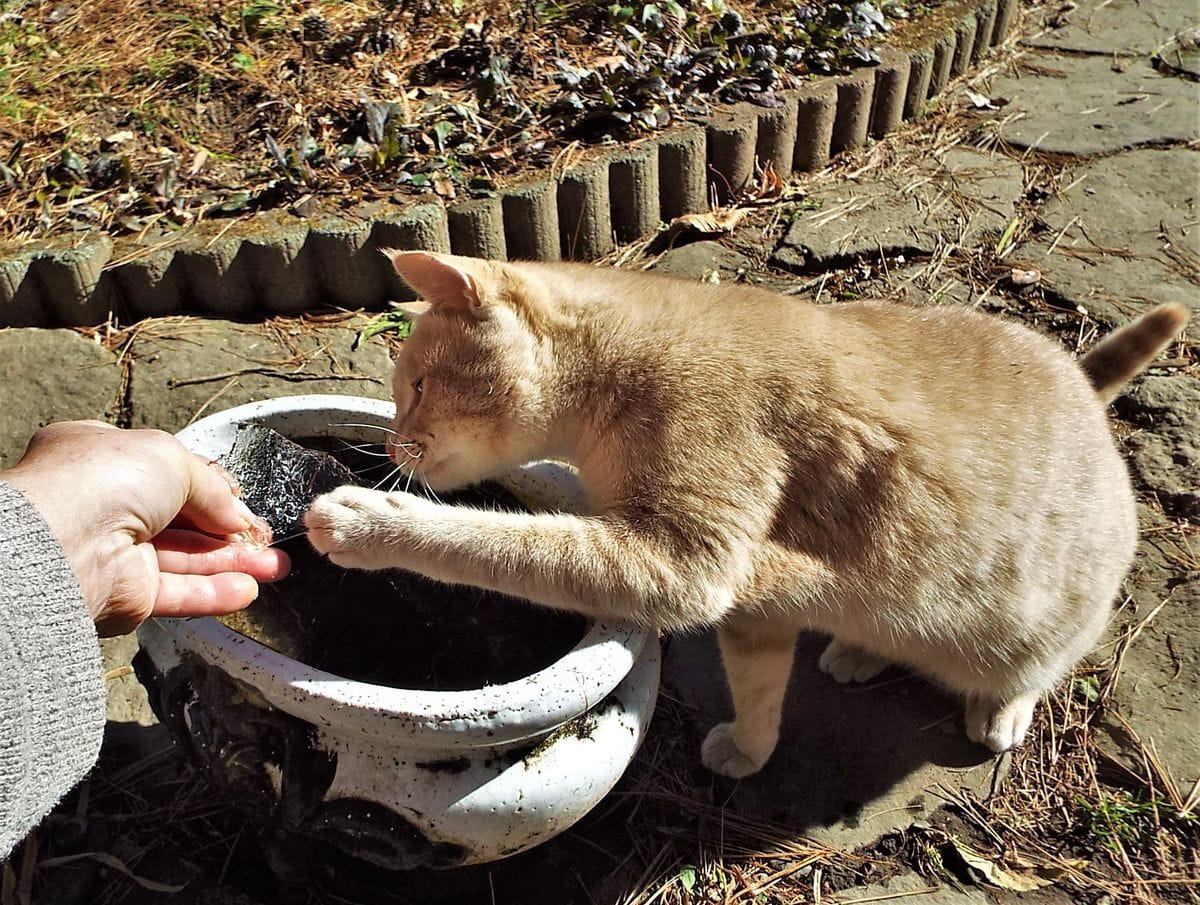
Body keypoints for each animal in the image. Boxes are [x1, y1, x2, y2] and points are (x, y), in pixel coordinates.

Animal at [304, 248, 1185, 777]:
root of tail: (1081, 381)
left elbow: (486, 540)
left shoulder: (682, 561)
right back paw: (857, 650)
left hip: (1036, 623)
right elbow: (759, 690)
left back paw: (998, 710)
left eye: (417, 385)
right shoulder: (749, 605)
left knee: (1033, 668)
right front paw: (751, 749)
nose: (398, 441)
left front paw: (364, 520)